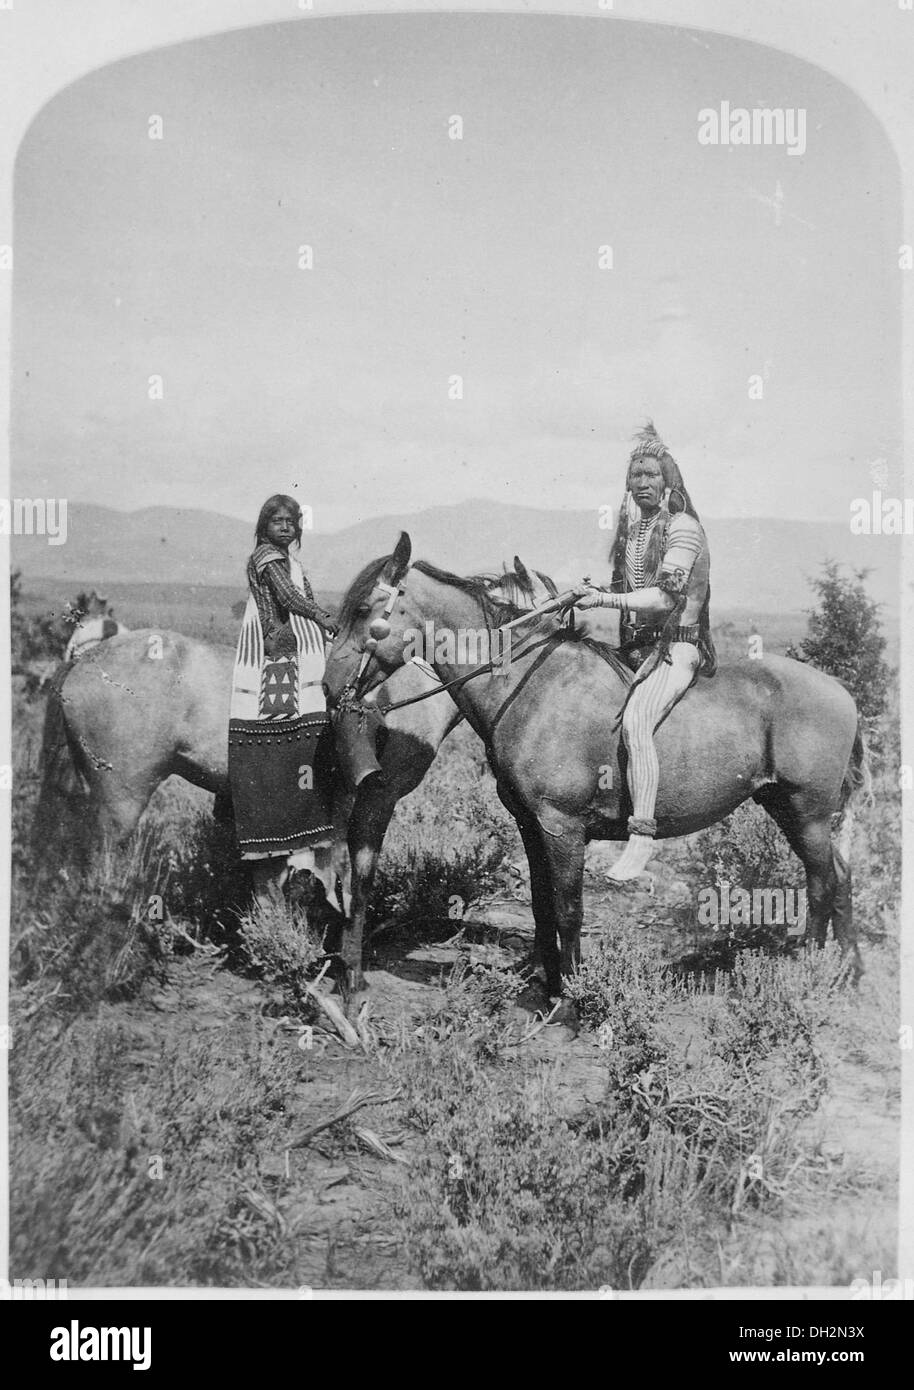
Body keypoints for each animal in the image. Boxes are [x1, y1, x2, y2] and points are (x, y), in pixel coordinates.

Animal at [323, 530, 866, 1000]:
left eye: (366, 609)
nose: (329, 686)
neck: (528, 686)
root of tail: (843, 690)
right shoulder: (532, 825)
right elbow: (542, 907)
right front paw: (547, 986)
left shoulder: (562, 827)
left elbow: (568, 911)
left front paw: (571, 999)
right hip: (785, 805)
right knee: (837, 875)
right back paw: (847, 969)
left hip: (807, 811)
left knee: (823, 881)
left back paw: (813, 969)